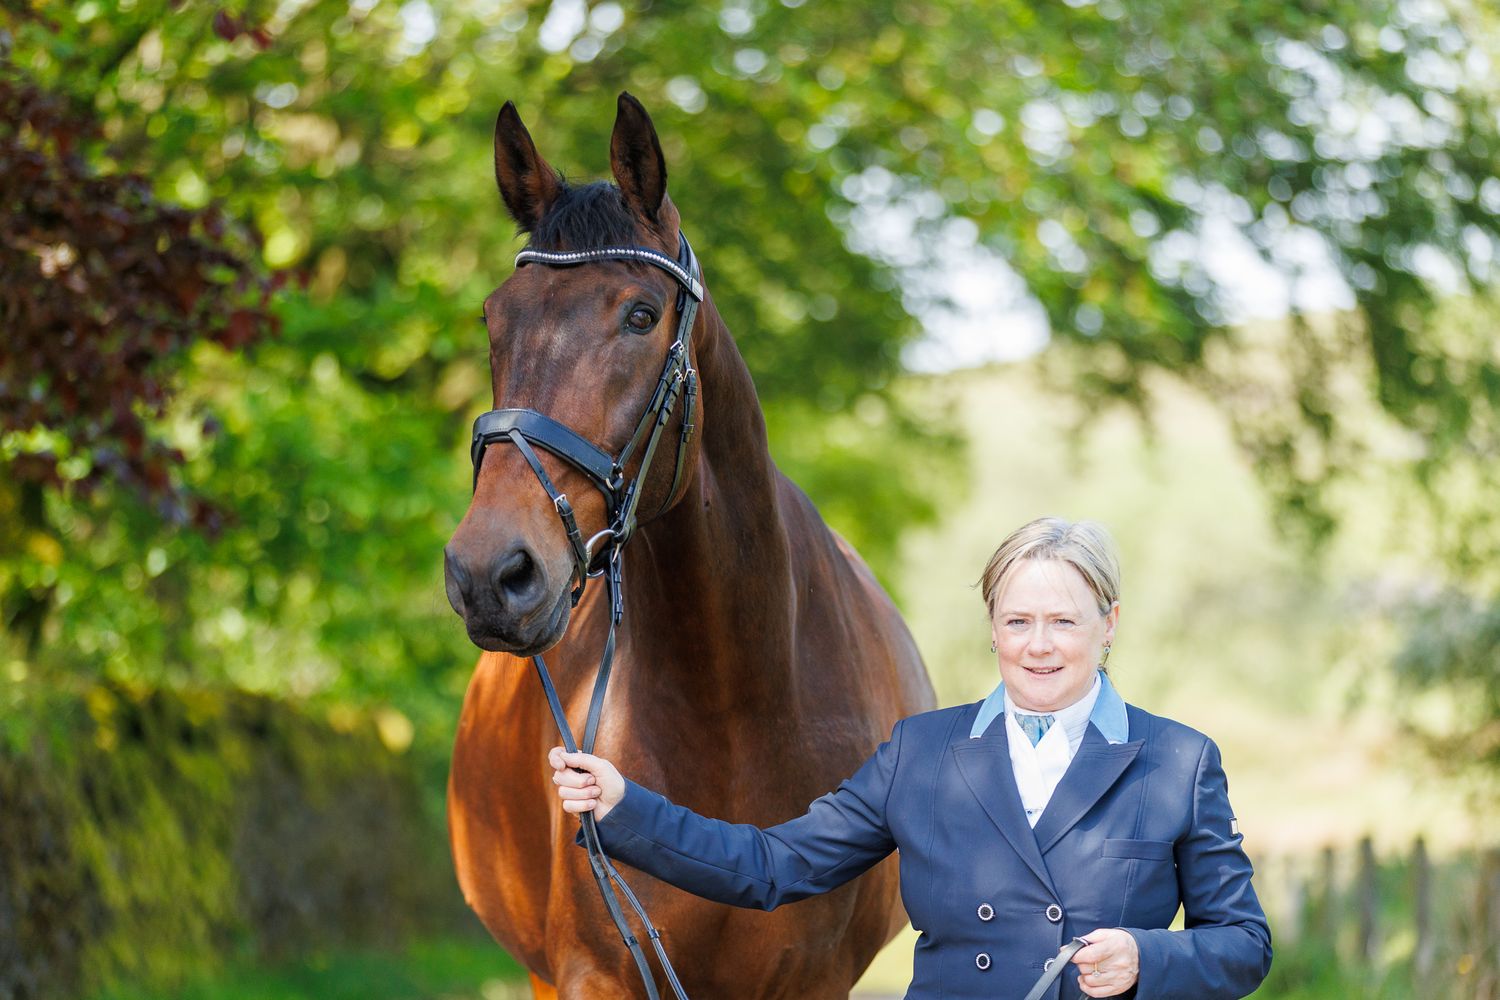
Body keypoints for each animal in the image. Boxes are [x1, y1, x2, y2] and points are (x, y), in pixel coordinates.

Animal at [444, 92, 935, 999]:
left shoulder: (815, 982)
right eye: (495, 317)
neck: (734, 704)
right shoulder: (595, 974)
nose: (489, 574)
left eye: (641, 315)